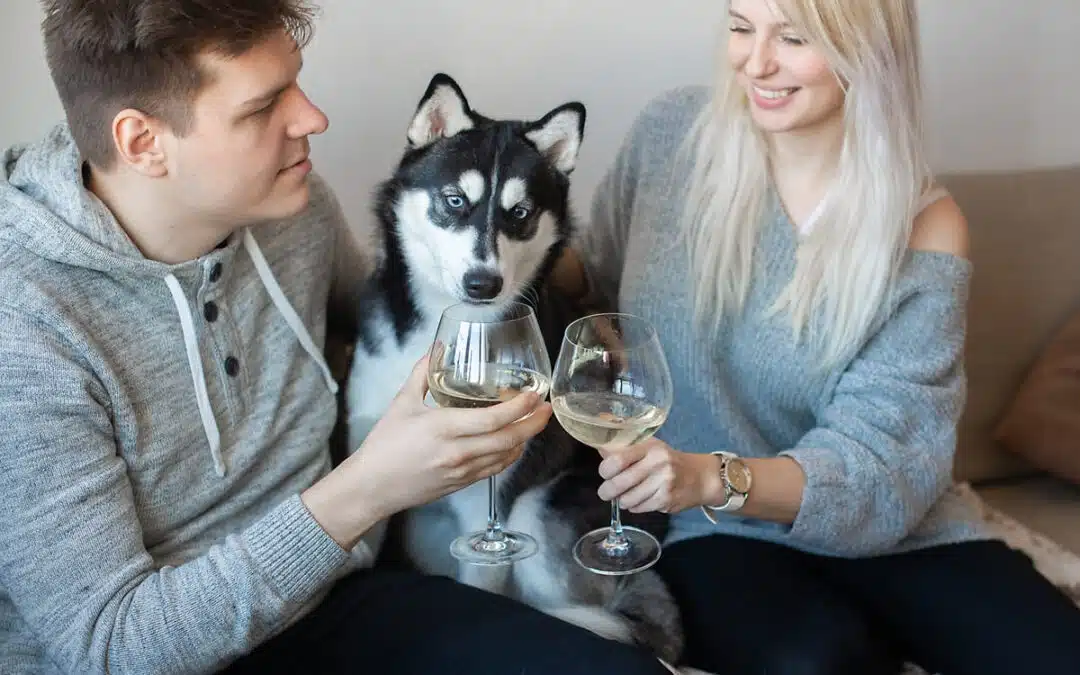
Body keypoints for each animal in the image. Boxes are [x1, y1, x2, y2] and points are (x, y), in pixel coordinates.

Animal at [341, 73, 686, 665]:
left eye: (519, 213)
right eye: (455, 200)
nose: (484, 283)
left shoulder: (489, 512)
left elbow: (487, 575)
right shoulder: (372, 473)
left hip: (537, 519)